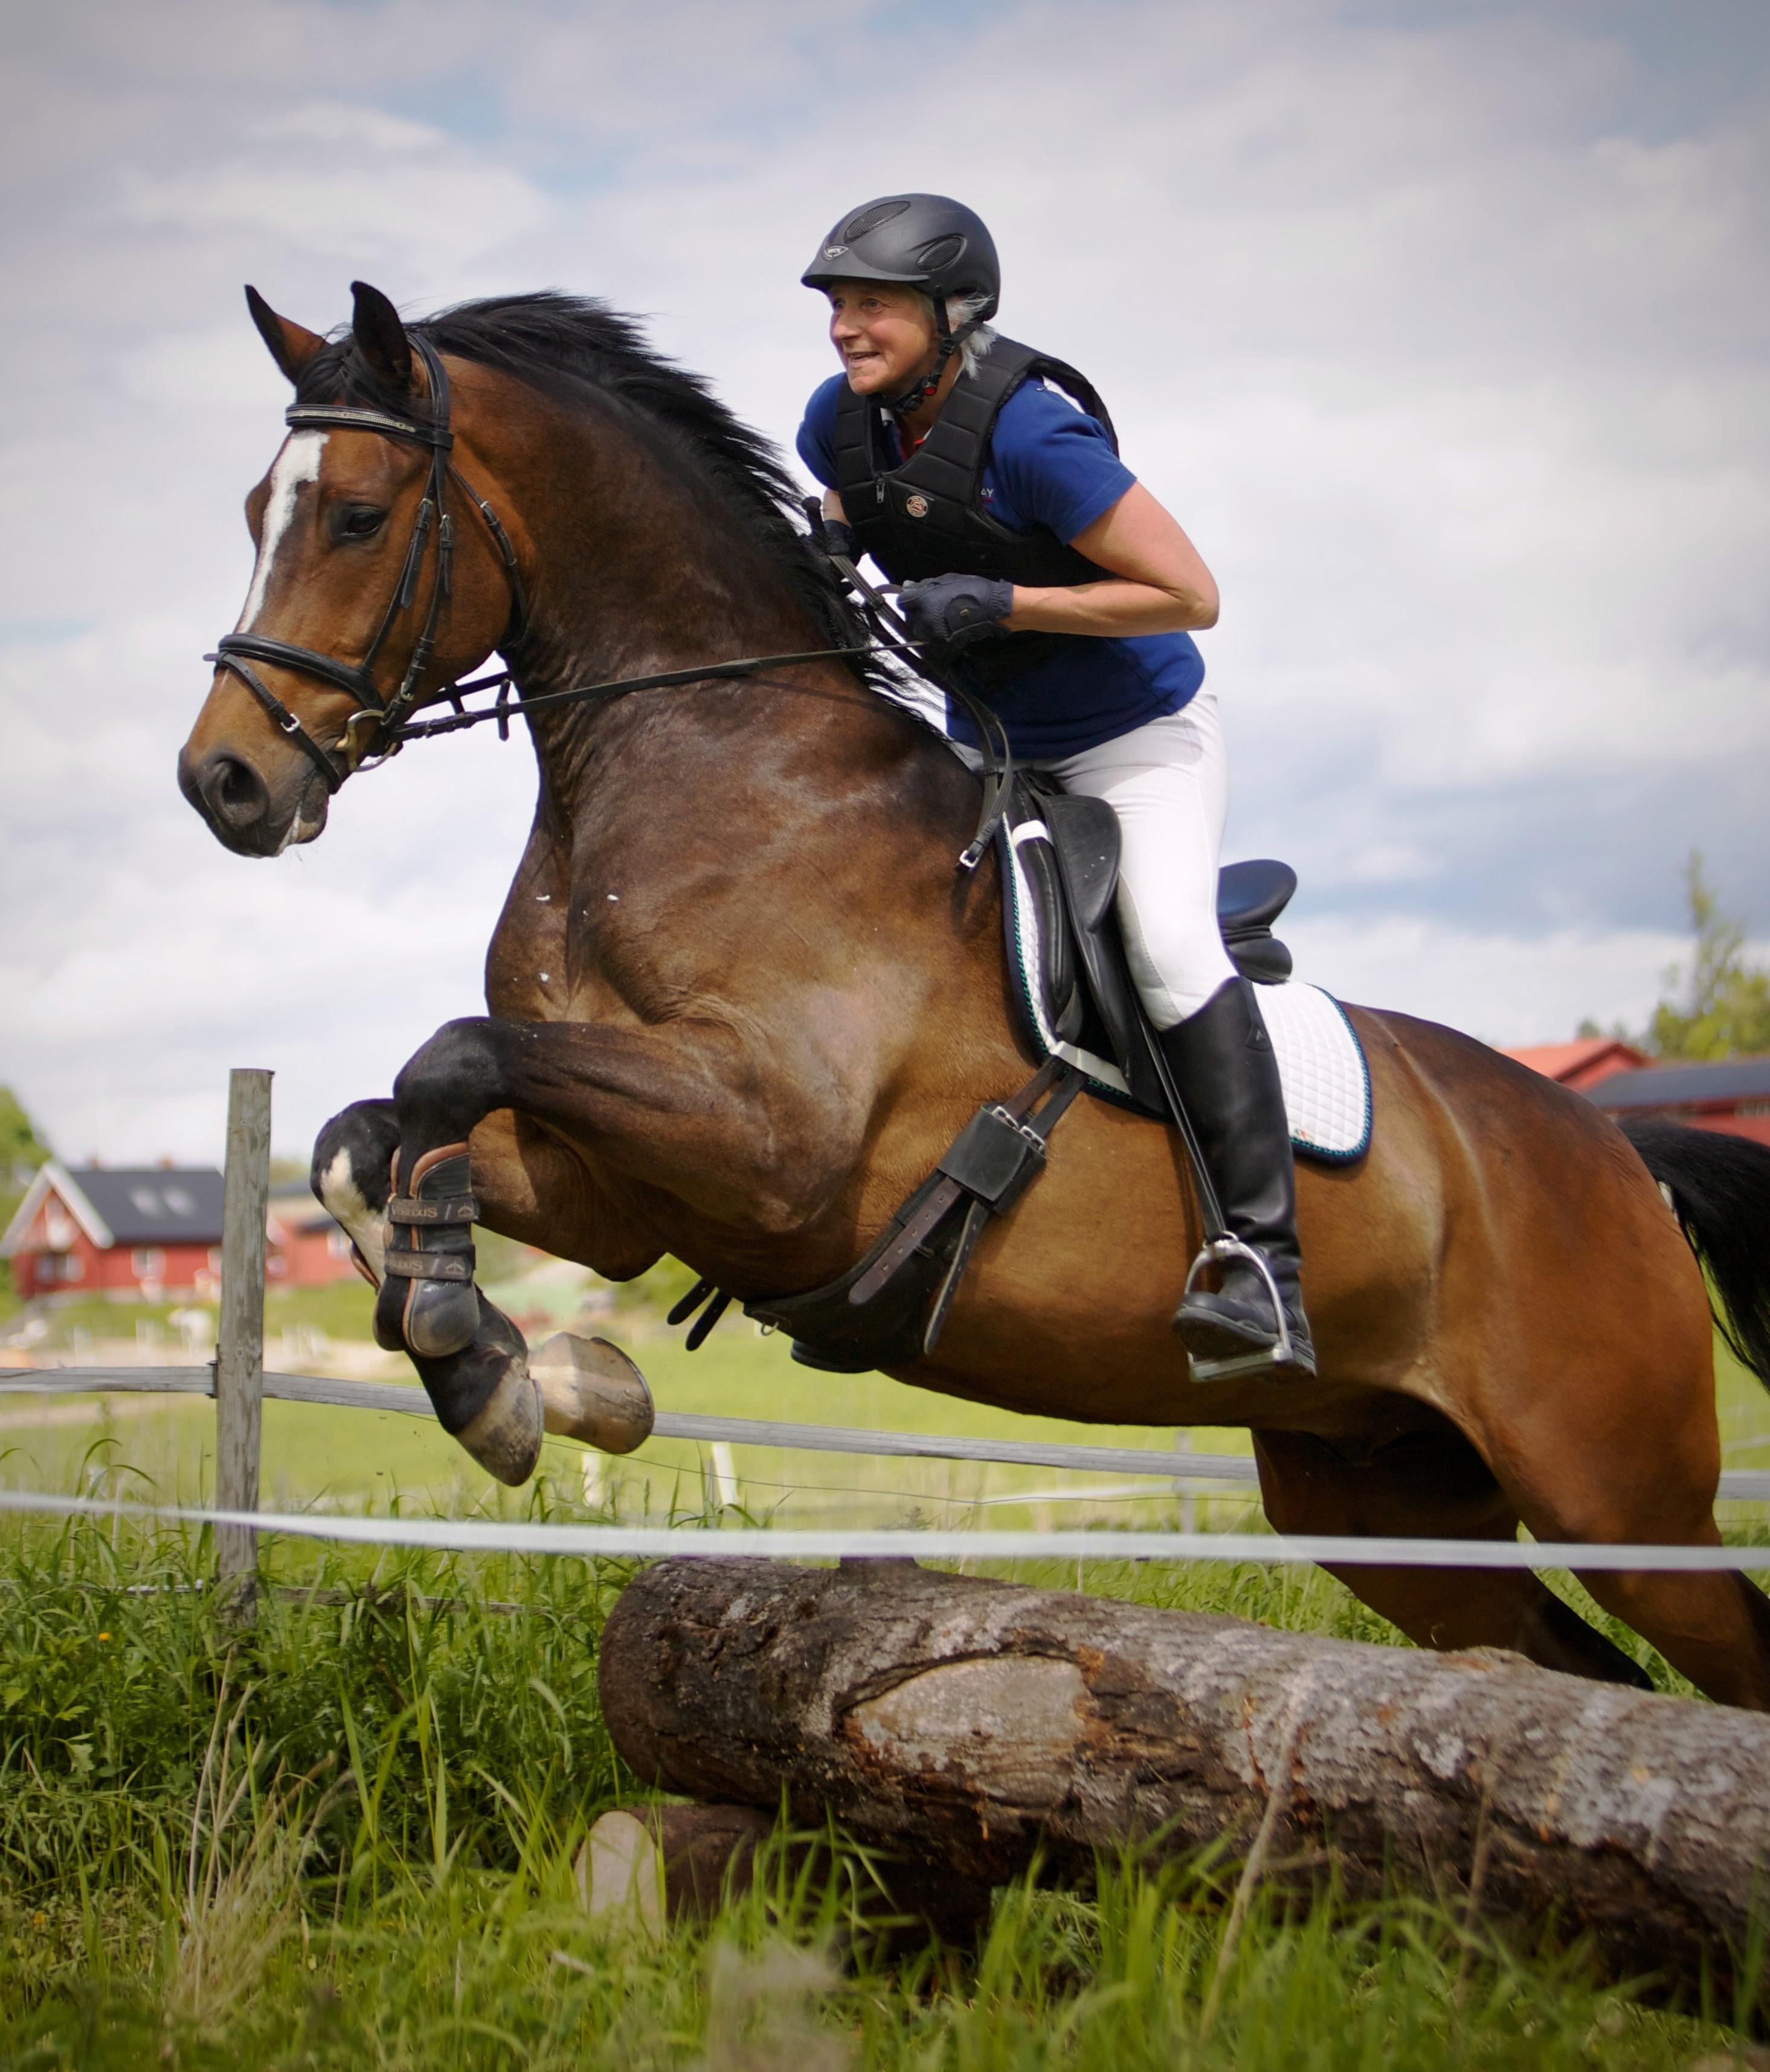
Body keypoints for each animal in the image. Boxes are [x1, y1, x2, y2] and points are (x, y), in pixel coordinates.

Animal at [183, 283, 1770, 1707]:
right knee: (1575, 1665)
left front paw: (506, 1370)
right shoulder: (627, 1187)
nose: (224, 783)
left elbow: (447, 1059)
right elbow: (367, 1138)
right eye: (255, 505)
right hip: (1389, 1495)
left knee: (1716, 1646)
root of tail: (1610, 1146)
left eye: (355, 516)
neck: (702, 763)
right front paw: (523, 1375)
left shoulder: (769, 1142)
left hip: (1612, 1488)